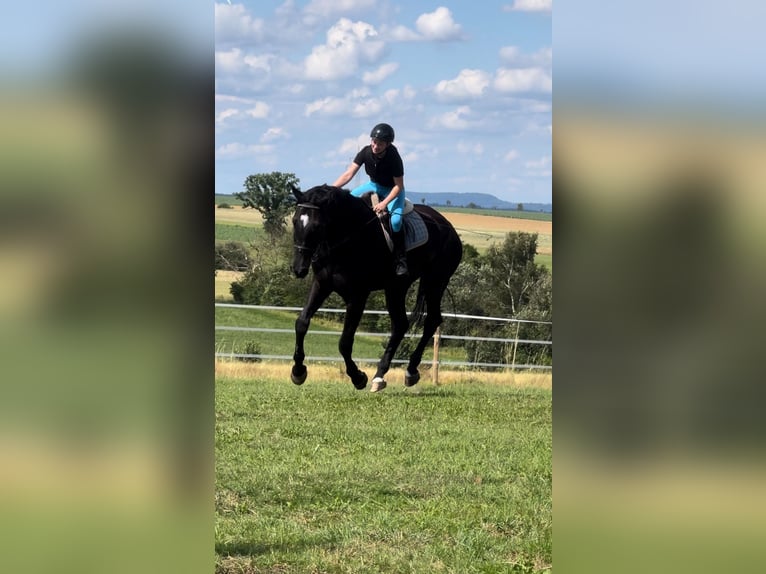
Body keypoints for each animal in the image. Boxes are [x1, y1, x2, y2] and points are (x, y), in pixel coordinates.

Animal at [290, 184, 463, 392]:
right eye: (294, 221)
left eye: (317, 226)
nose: (298, 268)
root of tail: (449, 228)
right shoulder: (321, 285)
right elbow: (302, 323)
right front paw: (298, 371)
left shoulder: (358, 296)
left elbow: (344, 342)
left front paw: (358, 377)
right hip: (396, 288)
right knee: (401, 324)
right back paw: (381, 374)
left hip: (434, 282)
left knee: (431, 320)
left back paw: (409, 370)